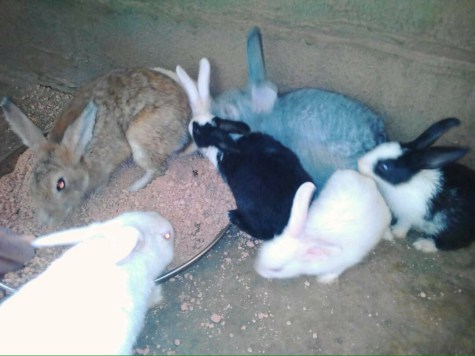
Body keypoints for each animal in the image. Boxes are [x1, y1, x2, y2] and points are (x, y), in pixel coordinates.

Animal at [2, 67, 192, 225]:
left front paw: (99, 192)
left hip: (139, 138)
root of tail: (186, 117)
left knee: (158, 169)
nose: (45, 221)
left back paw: (132, 188)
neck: (81, 159)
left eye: (60, 184)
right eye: (31, 184)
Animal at [255, 170, 392, 284]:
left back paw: (389, 236)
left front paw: (324, 279)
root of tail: (369, 182)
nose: (257, 269)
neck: (307, 237)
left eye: (277, 270)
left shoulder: (346, 260)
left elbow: (336, 271)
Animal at [358, 118, 474, 252]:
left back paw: (423, 244)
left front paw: (396, 233)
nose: (359, 162)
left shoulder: (408, 214)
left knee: (450, 243)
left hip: (451, 229)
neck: (405, 183)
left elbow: (403, 225)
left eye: (385, 167)